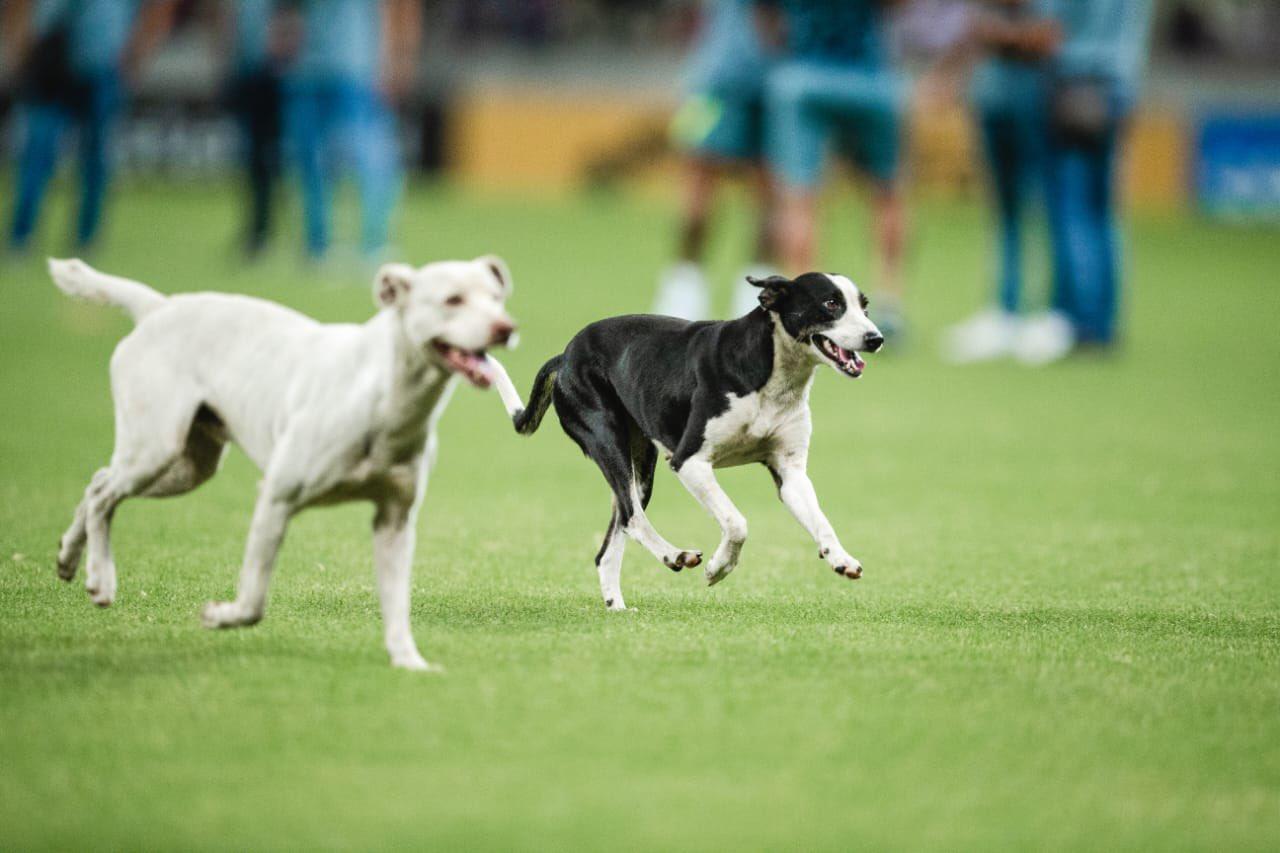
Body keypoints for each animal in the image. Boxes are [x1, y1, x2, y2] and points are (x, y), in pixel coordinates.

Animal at [46, 256, 514, 666]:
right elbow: (253, 599)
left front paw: (409, 662)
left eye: (497, 298)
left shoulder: (395, 521)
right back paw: (100, 577)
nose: (506, 328)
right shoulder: (277, 498)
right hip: (155, 447)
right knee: (104, 493)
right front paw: (220, 616)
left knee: (98, 482)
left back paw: (70, 557)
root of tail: (159, 307)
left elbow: (397, 607)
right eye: (452, 299)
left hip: (186, 466)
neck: (385, 397)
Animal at [486, 268, 880, 607]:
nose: (876, 338)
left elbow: (822, 522)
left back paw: (618, 608)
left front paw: (840, 558)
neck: (771, 373)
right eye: (830, 303)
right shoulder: (689, 462)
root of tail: (564, 356)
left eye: (864, 305)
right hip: (609, 444)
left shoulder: (790, 473)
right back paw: (675, 555)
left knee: (612, 542)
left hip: (639, 469)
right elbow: (737, 523)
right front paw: (719, 568)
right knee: (632, 518)